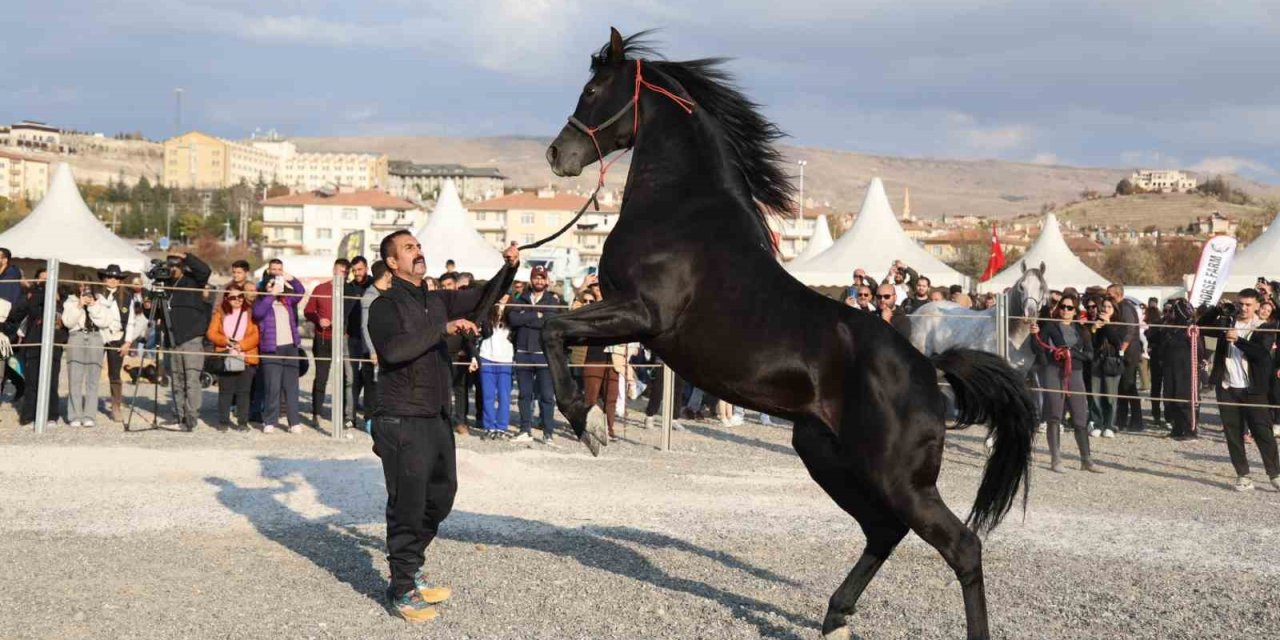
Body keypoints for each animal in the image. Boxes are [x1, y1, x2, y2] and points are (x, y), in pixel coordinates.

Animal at [540, 30, 1029, 640]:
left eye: (592, 90)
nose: (557, 155)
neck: (681, 211)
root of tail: (927, 367)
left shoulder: (642, 314)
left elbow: (552, 328)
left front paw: (585, 424)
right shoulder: (628, 320)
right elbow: (574, 343)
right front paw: (590, 420)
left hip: (898, 477)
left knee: (960, 545)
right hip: (825, 453)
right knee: (883, 530)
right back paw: (835, 617)